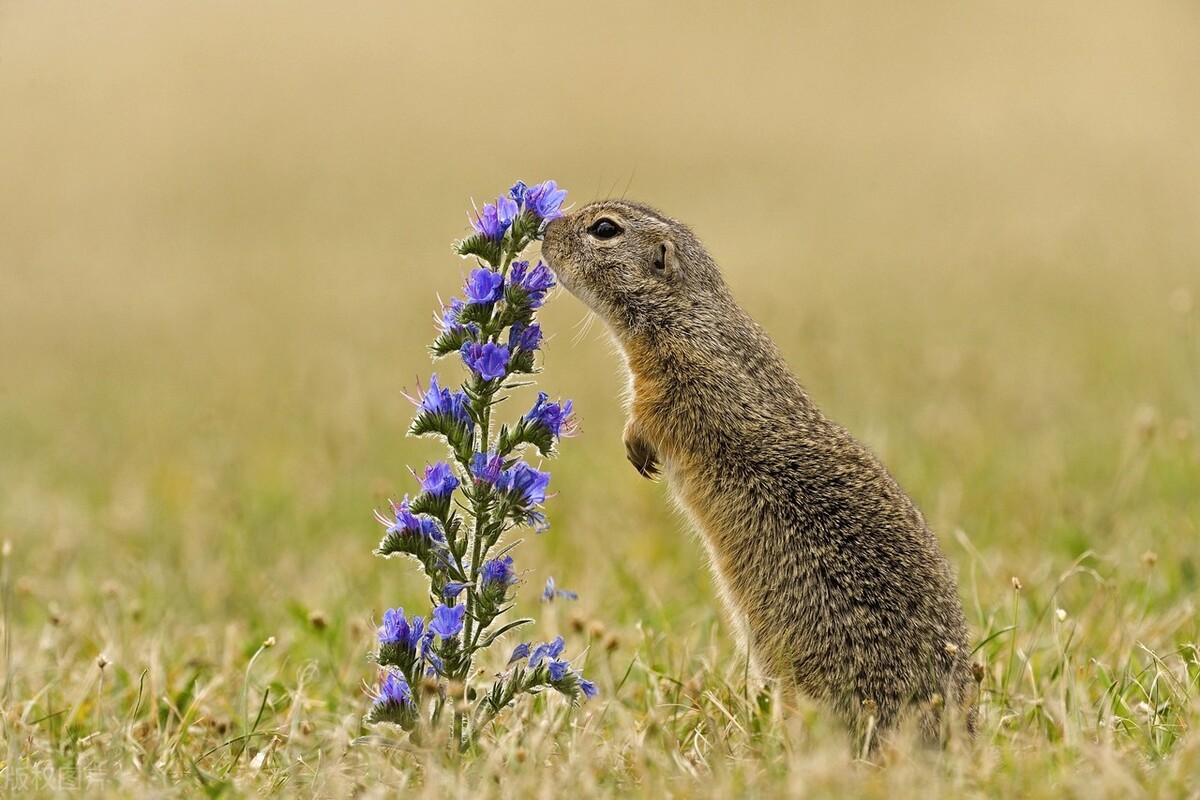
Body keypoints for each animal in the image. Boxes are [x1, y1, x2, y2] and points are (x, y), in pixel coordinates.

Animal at [542, 200, 974, 753]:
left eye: (604, 229)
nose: (544, 230)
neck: (685, 312)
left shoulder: (686, 378)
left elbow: (654, 414)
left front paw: (637, 450)